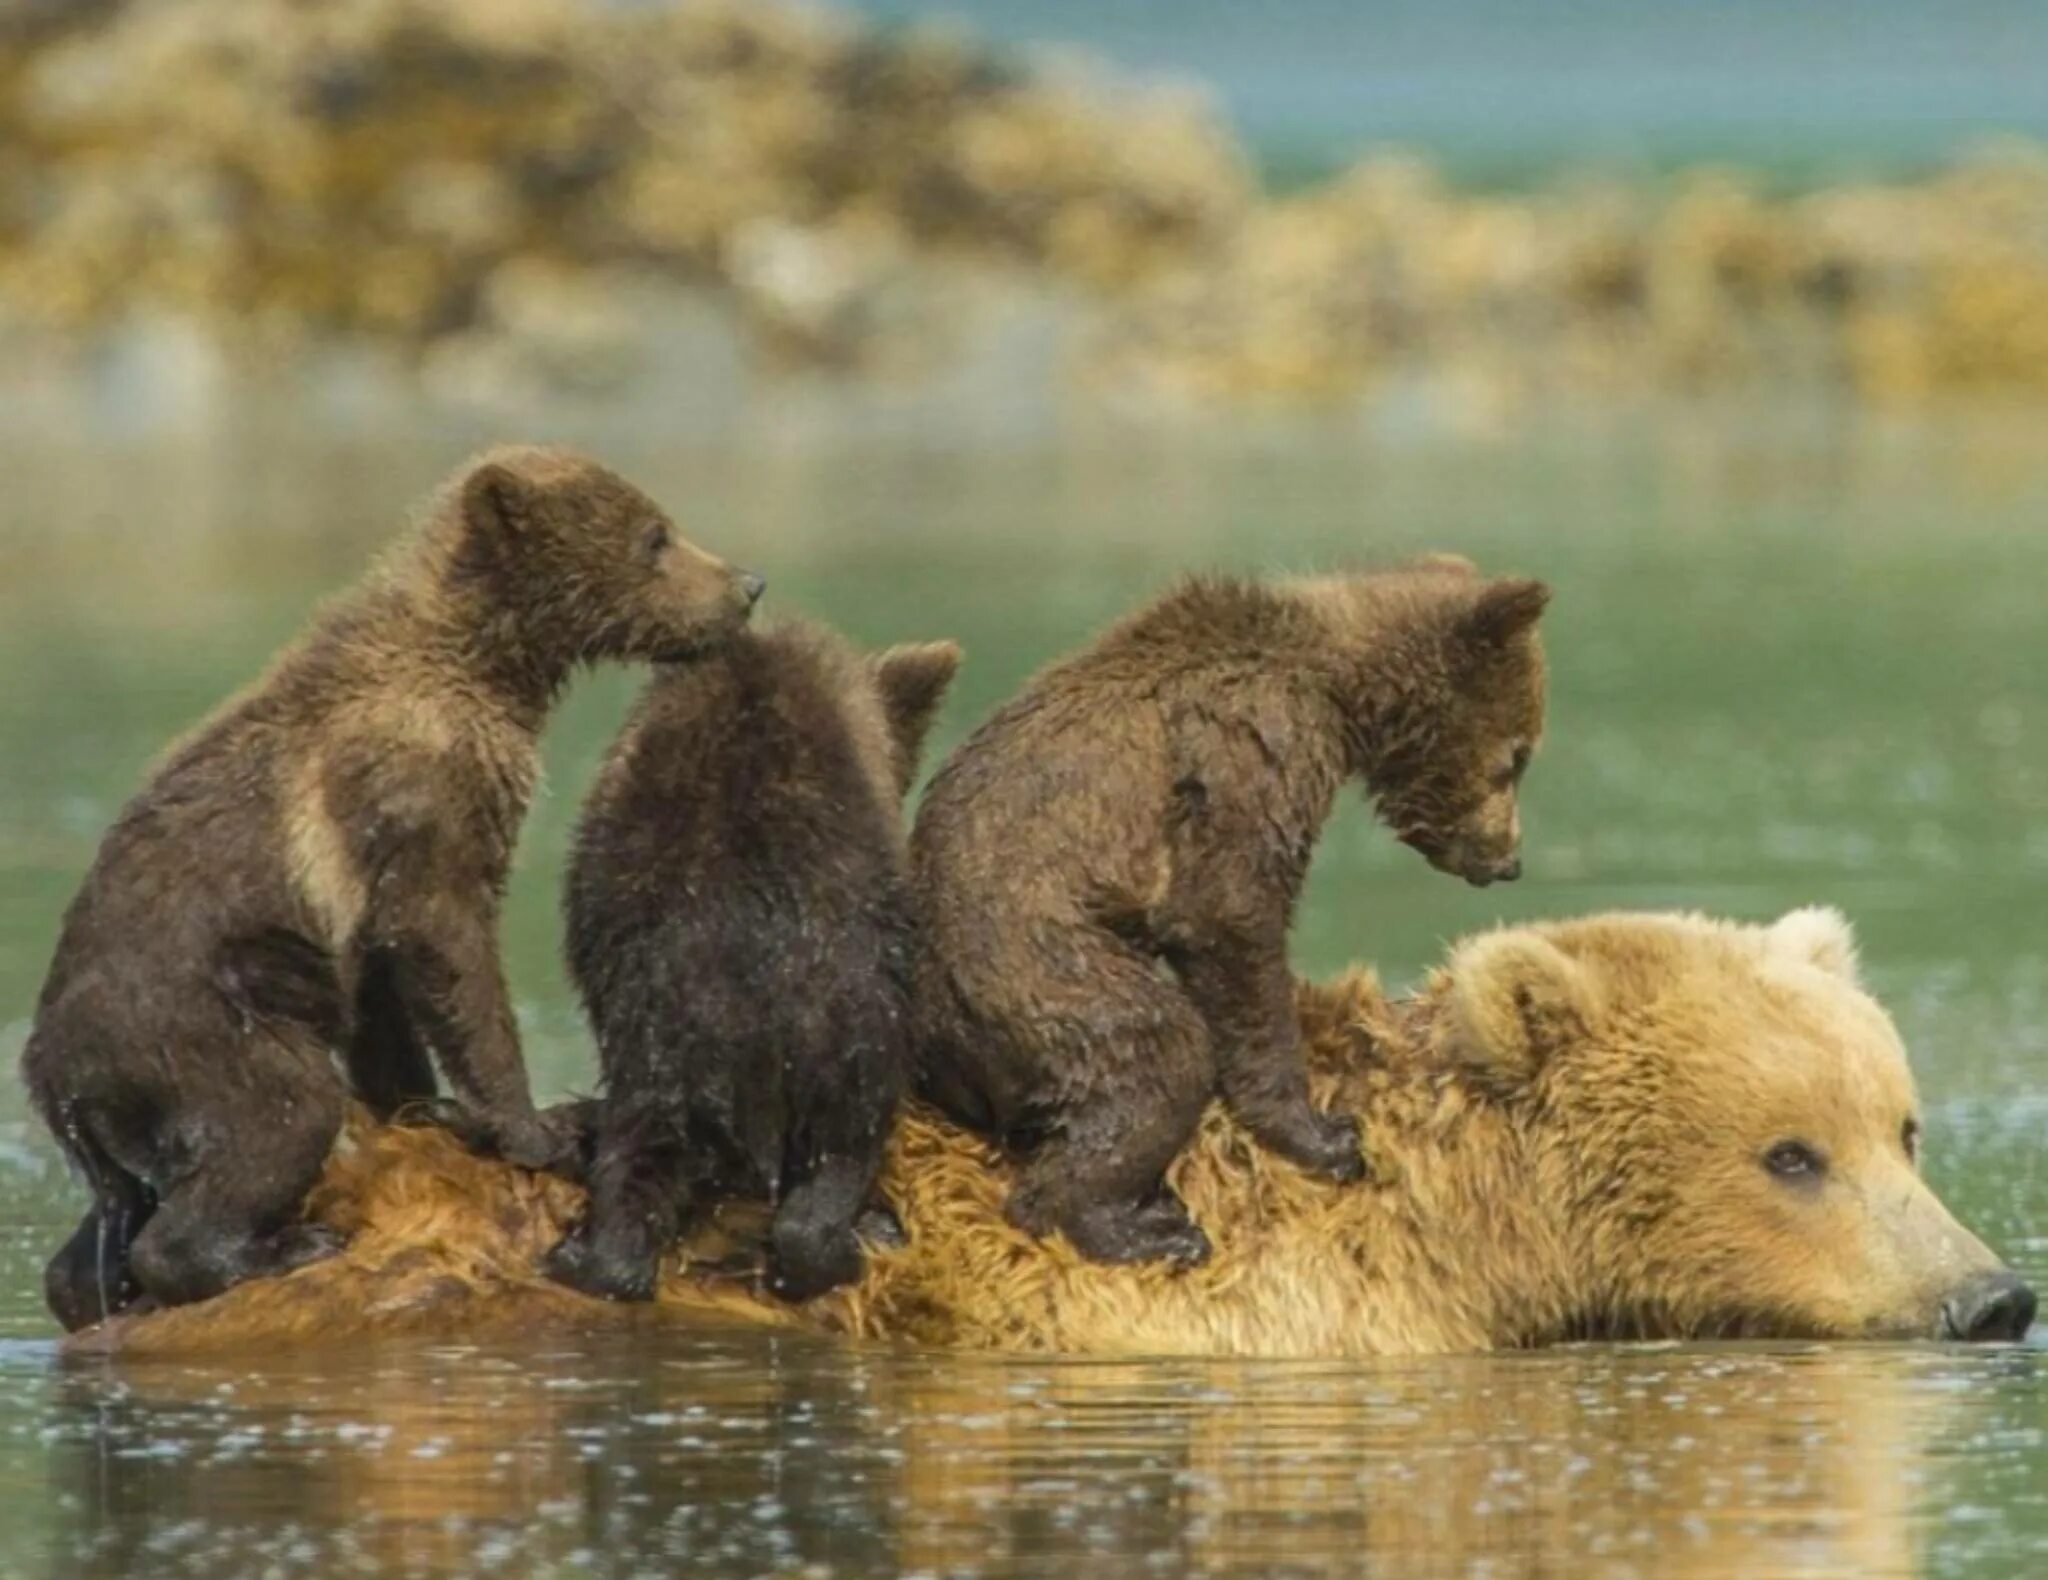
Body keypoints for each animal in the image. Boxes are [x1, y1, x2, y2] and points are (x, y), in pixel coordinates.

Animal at [25, 444, 761, 1336]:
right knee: (276, 1114)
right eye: (654, 536)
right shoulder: (419, 785)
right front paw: (536, 1127)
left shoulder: (372, 868)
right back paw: (271, 1247)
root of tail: (49, 1069)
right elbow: (447, 940)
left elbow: (384, 986)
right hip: (194, 1026)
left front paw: (420, 1106)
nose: (746, 586)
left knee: (110, 1216)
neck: (484, 662)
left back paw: (91, 1283)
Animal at [905, 561, 1540, 1270]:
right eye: (1517, 756)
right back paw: (1141, 1228)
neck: (1340, 691)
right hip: (1038, 969)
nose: (1509, 860)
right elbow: (1229, 919)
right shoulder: (1250, 753)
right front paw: (1326, 1136)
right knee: (1156, 1054)